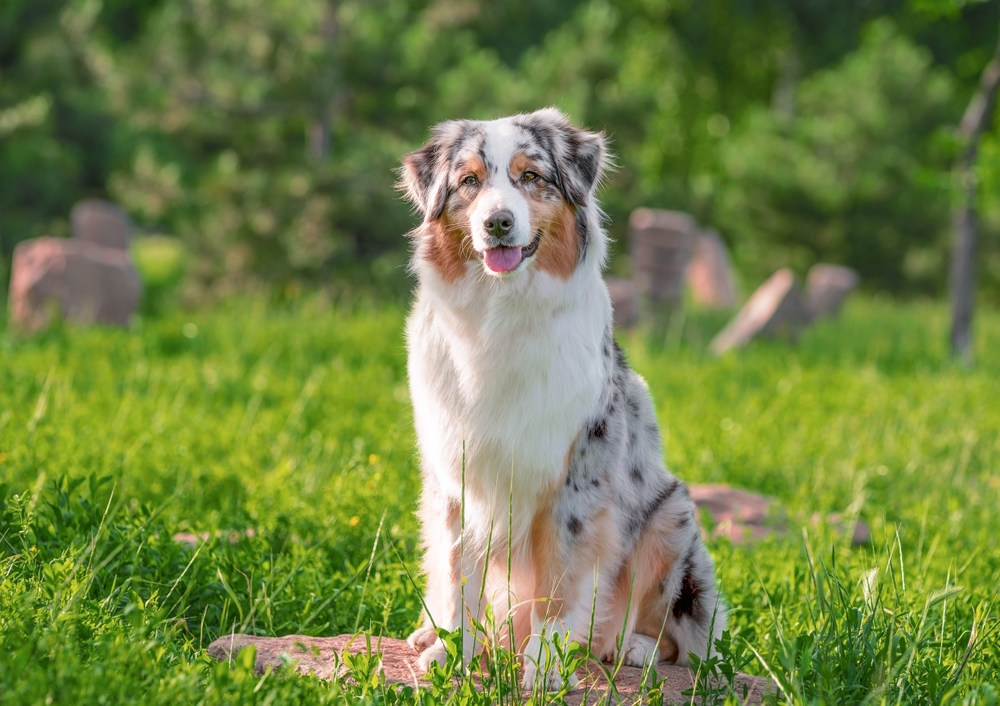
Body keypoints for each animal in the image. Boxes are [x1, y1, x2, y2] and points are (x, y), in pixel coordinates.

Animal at [400, 110, 728, 688]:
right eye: (469, 182)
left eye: (531, 177)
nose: (498, 223)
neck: (500, 316)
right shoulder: (453, 474)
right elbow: (457, 570)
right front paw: (451, 651)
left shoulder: (577, 477)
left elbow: (559, 583)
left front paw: (543, 665)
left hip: (672, 516)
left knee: (685, 641)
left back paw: (631, 647)